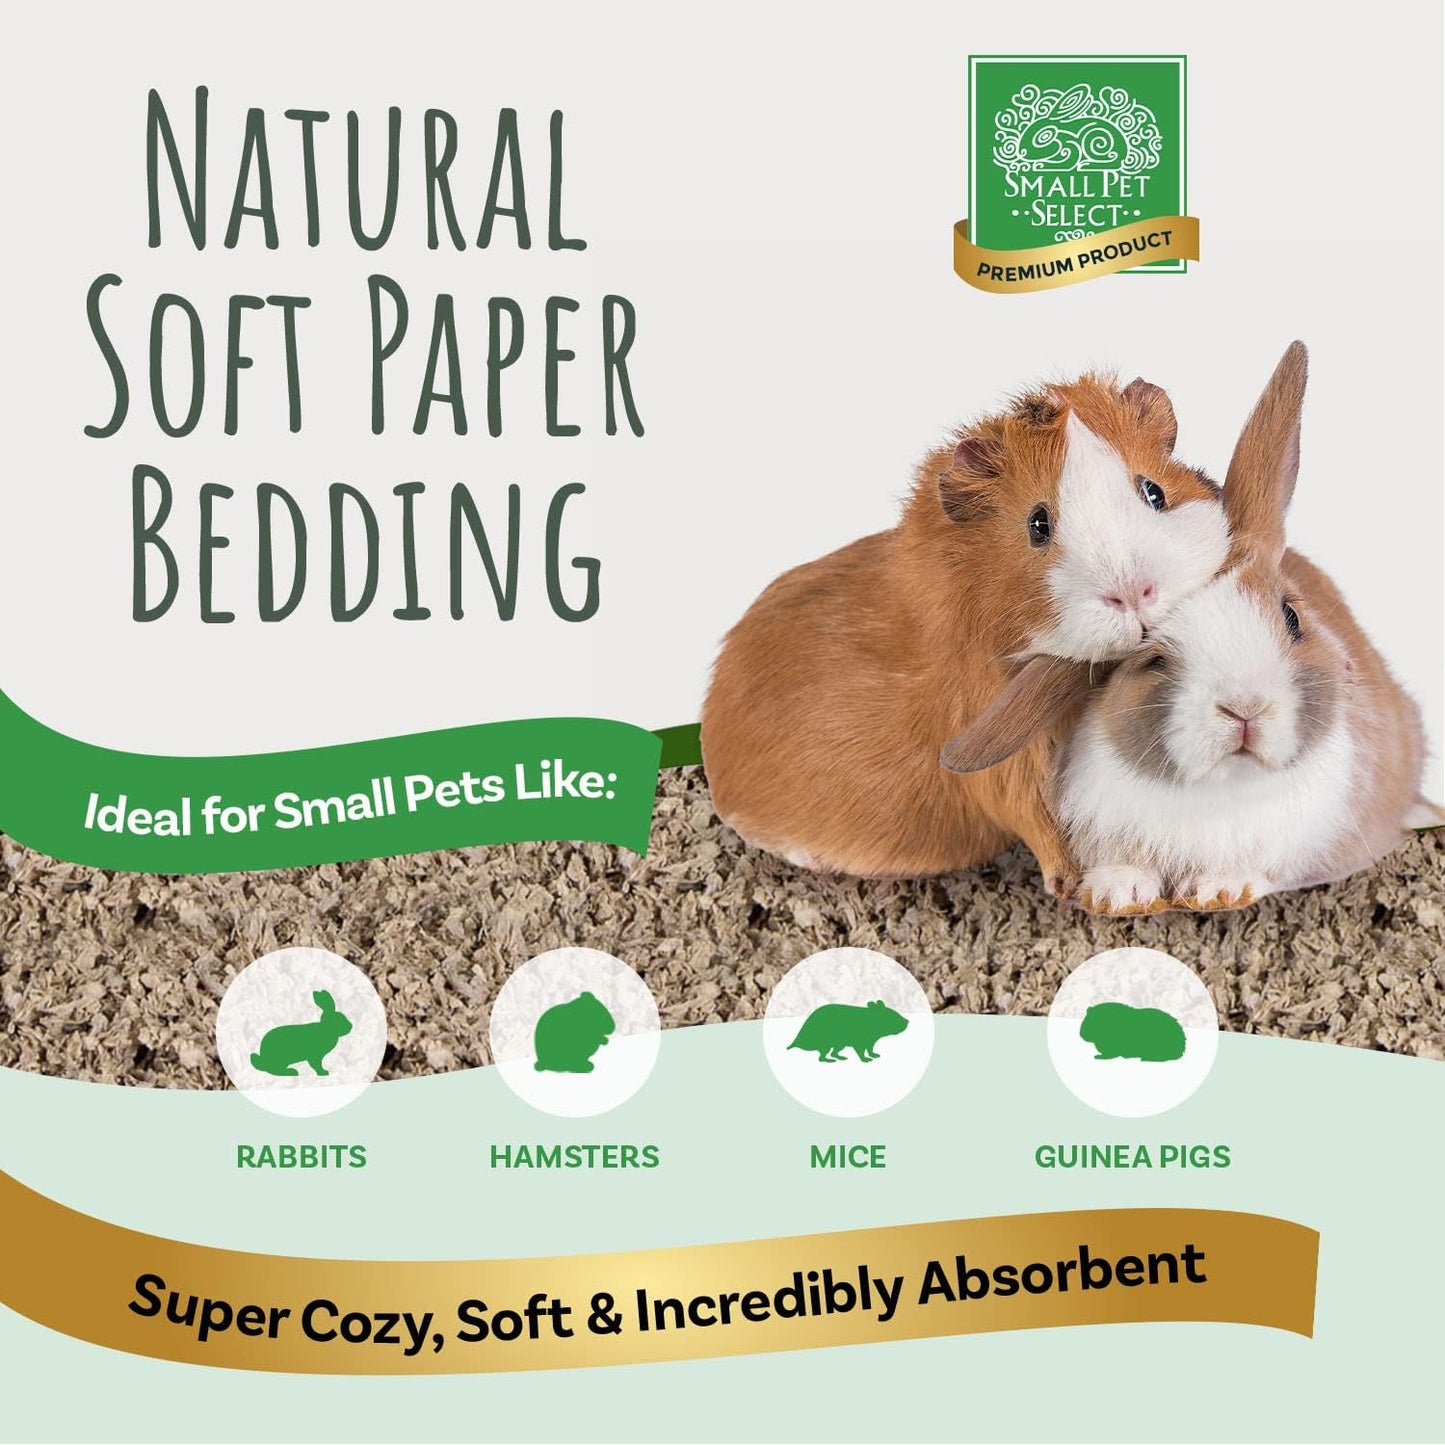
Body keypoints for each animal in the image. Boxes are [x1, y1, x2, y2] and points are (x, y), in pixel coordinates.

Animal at [701, 369, 1229, 892]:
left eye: (1154, 491)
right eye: (1038, 524)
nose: (1134, 593)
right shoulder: (1004, 755)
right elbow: (1039, 816)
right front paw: (1078, 883)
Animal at [942, 342, 1433, 914]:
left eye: (1291, 617)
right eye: (1154, 660)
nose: (1245, 708)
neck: (1220, 794)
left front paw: (1224, 887)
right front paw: (1117, 894)